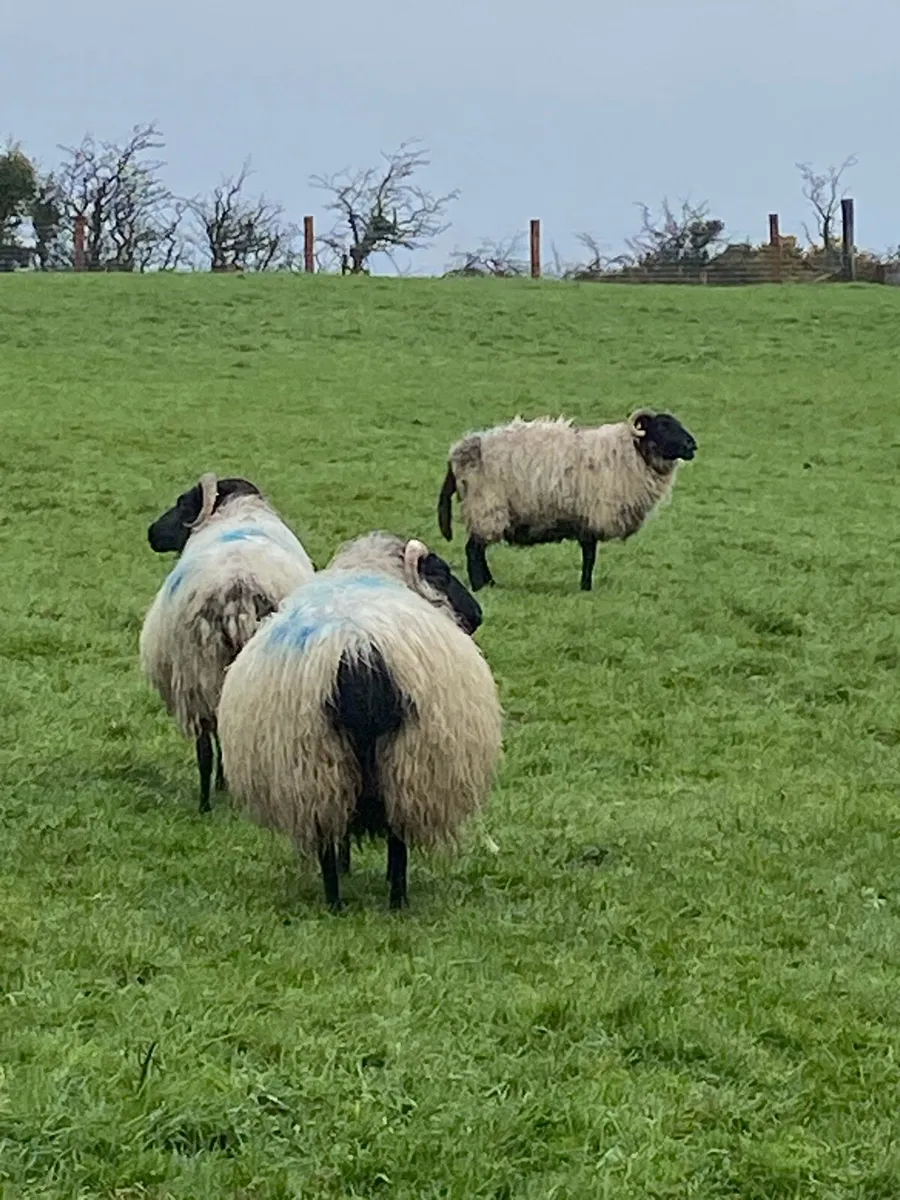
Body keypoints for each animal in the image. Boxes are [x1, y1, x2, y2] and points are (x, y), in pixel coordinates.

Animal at [139, 472, 315, 813]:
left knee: (205, 748)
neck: (237, 508)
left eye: (183, 502)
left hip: (196, 673)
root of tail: (238, 594)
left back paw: (206, 804)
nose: (152, 533)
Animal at [216, 532, 503, 912]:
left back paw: (340, 902)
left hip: (325, 765)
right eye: (441, 573)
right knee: (391, 838)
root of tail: (357, 649)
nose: (478, 614)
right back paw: (391, 900)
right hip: (398, 759)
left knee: (337, 833)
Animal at [437, 408, 697, 592]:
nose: (692, 445)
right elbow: (590, 556)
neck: (630, 454)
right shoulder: (591, 514)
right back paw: (480, 586)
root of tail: (458, 452)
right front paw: (586, 588)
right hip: (486, 506)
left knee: (478, 549)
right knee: (474, 549)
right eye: (663, 426)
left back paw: (491, 583)